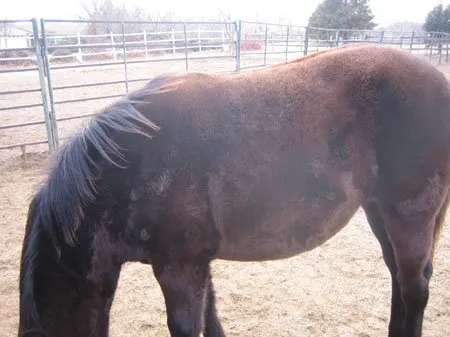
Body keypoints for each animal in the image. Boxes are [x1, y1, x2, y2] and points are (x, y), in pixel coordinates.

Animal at [17, 43, 450, 334]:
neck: (131, 168)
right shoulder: (195, 264)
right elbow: (211, 319)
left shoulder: (178, 266)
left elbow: (187, 326)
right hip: (379, 210)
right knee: (398, 276)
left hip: (410, 213)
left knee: (414, 288)